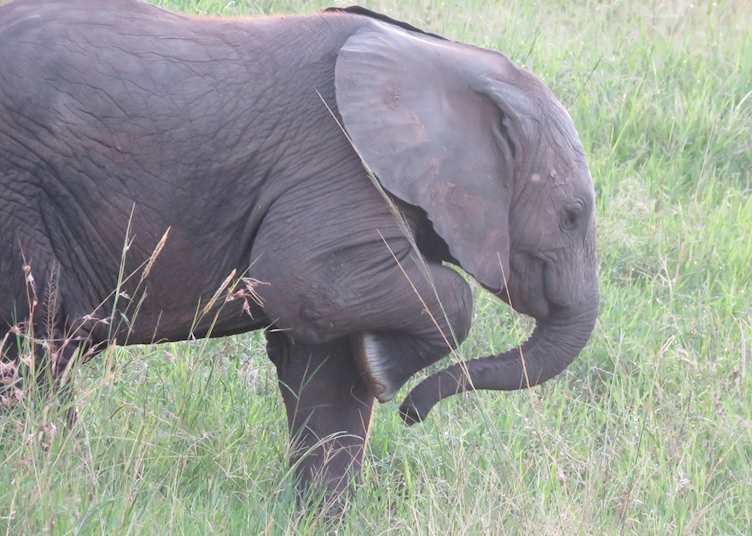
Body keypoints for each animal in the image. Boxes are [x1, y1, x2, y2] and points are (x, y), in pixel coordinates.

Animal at [0, 0, 598, 502]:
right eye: (571, 216)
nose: (411, 414)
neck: (445, 62)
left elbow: (327, 364)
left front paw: (322, 513)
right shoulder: (335, 160)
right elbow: (303, 280)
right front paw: (385, 369)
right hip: (16, 201)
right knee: (34, 344)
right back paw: (52, 476)